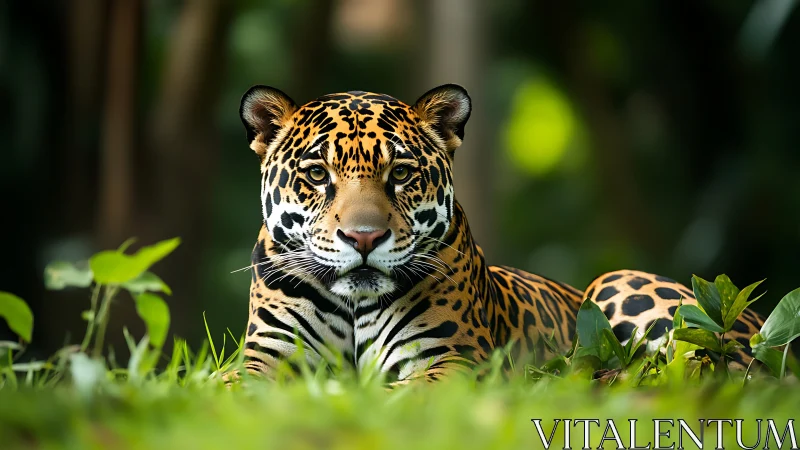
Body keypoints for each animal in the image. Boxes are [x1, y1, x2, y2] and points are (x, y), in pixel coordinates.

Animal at [236, 83, 763, 383]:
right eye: (317, 174)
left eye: (401, 174)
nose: (363, 238)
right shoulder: (268, 356)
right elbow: (236, 387)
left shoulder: (451, 357)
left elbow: (404, 393)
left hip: (622, 283)